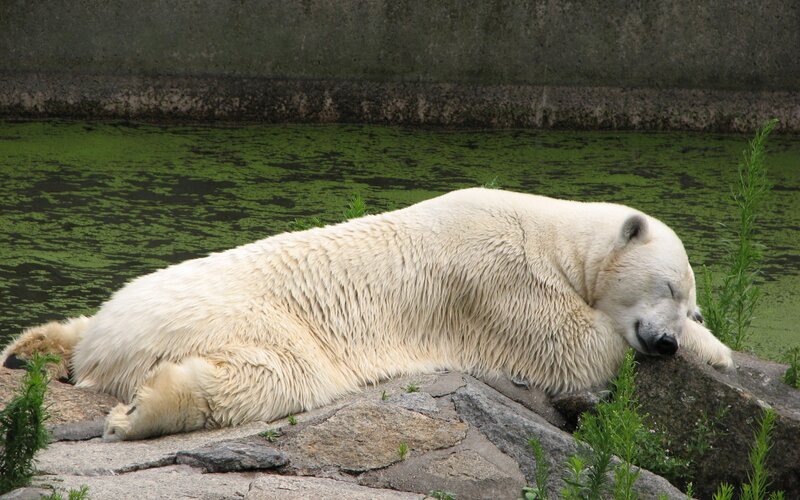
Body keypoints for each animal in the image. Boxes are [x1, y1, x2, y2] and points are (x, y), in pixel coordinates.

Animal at [1, 188, 733, 440]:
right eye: (668, 285)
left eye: (689, 301)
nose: (668, 343)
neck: (554, 234)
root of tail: (109, 345)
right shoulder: (496, 278)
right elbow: (571, 344)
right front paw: (712, 352)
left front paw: (713, 347)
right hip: (233, 314)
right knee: (275, 374)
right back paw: (139, 411)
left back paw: (29, 347)